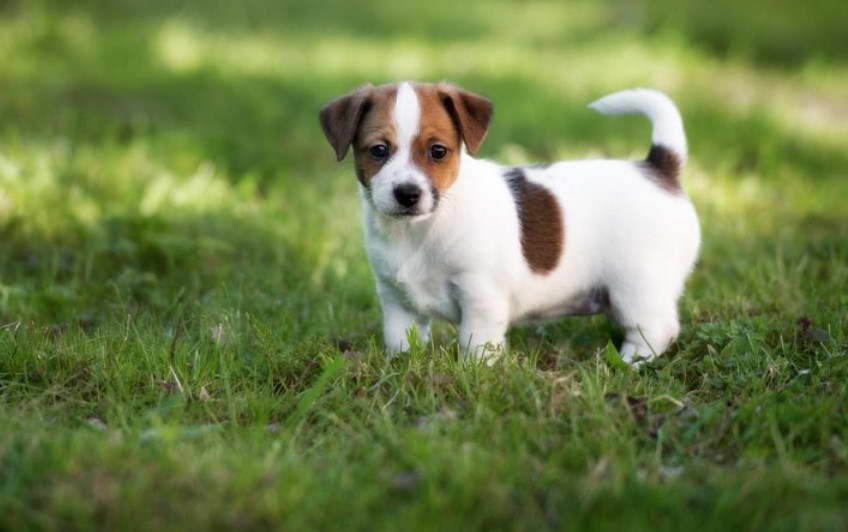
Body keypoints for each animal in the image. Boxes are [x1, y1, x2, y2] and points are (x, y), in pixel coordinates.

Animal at [322, 82, 700, 366]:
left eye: (438, 151)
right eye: (378, 150)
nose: (407, 193)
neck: (421, 230)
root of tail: (658, 168)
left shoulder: (480, 296)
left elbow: (475, 343)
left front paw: (473, 375)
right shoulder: (396, 301)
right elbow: (400, 341)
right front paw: (401, 367)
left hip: (637, 286)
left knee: (657, 328)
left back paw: (631, 360)